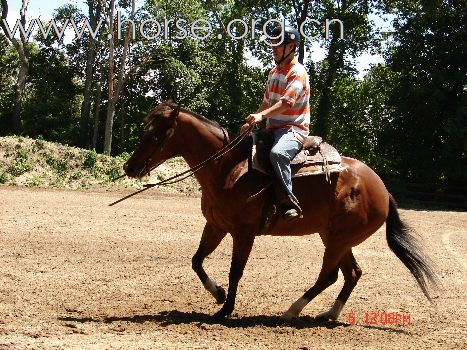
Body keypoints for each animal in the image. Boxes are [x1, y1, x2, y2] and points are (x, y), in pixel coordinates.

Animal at [123, 101, 438, 320]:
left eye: (157, 134)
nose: (129, 167)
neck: (228, 169)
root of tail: (382, 188)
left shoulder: (244, 232)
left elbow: (235, 270)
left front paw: (226, 309)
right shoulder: (216, 225)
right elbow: (197, 261)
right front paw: (219, 295)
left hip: (338, 239)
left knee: (329, 276)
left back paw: (291, 311)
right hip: (336, 237)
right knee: (352, 274)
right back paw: (329, 314)